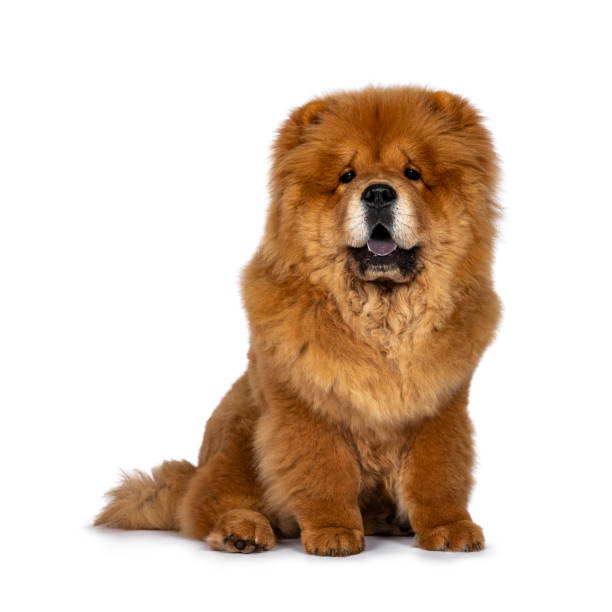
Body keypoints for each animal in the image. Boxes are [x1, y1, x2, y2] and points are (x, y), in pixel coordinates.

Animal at [94, 85, 498, 556]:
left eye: (412, 172)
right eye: (347, 175)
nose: (379, 193)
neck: (380, 318)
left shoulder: (441, 409)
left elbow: (438, 475)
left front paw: (450, 528)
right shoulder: (304, 408)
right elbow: (324, 472)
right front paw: (334, 533)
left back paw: (387, 521)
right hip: (239, 433)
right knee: (211, 502)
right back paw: (242, 531)